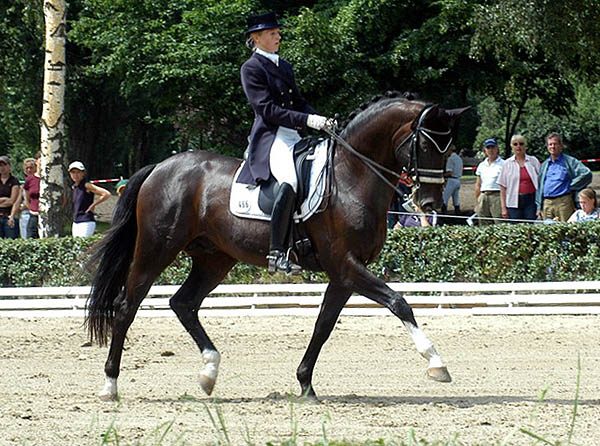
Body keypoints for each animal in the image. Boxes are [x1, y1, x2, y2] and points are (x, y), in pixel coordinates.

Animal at [85, 94, 468, 400]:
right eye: (426, 146)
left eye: (449, 150)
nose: (431, 204)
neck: (351, 175)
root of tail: (159, 167)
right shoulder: (346, 265)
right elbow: (399, 302)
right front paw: (437, 364)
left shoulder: (343, 275)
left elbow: (323, 325)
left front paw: (305, 385)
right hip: (156, 249)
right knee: (126, 307)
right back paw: (110, 386)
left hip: (214, 259)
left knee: (184, 303)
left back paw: (209, 372)